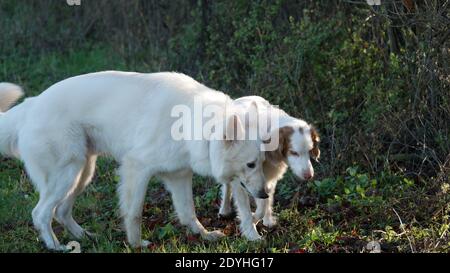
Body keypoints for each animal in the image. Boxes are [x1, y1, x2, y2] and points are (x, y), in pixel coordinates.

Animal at [0, 71, 268, 250]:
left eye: (262, 163)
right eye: (251, 164)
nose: (265, 194)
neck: (192, 123)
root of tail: (30, 105)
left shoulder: (179, 176)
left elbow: (188, 212)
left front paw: (204, 235)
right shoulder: (137, 168)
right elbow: (134, 213)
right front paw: (137, 244)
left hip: (82, 173)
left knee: (62, 212)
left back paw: (86, 236)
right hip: (67, 174)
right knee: (41, 213)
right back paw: (56, 246)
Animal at [219, 95, 320, 238]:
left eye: (310, 150)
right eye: (294, 152)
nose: (309, 176)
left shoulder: (267, 180)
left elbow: (264, 203)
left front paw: (258, 219)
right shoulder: (243, 180)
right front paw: (250, 223)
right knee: (226, 186)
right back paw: (224, 209)